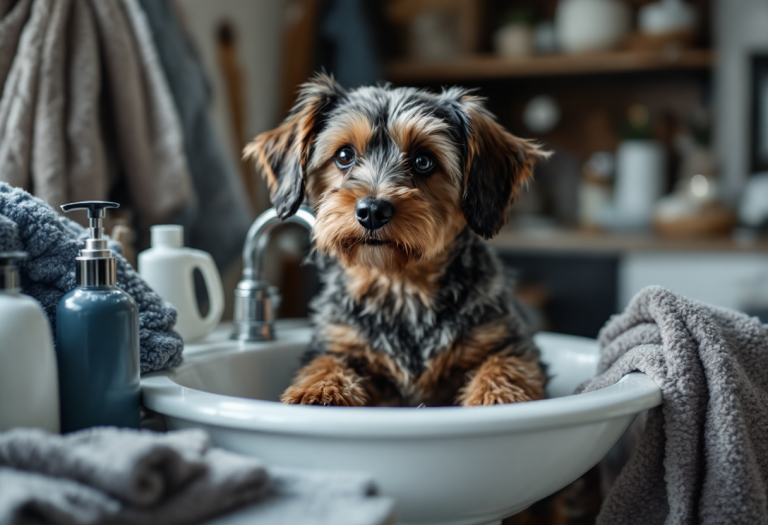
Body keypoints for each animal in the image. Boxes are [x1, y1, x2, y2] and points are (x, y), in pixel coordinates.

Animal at [243, 73, 548, 408]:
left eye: (423, 161)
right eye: (344, 155)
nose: (372, 211)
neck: (401, 287)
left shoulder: (508, 341)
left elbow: (504, 367)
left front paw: (495, 398)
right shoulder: (336, 343)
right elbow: (325, 363)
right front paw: (318, 392)